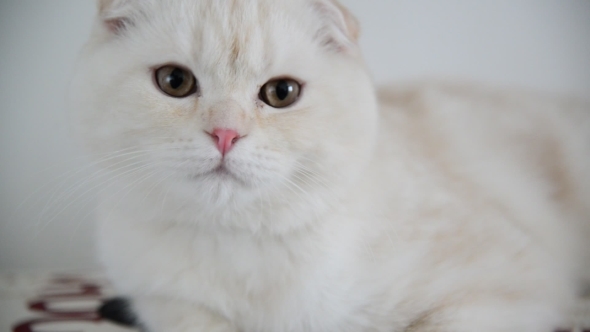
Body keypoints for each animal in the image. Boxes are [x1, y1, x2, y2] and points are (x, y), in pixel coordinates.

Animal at [67, 0, 588, 332]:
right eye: (174, 81)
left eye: (281, 93)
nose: (225, 135)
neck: (241, 246)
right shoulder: (167, 305)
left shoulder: (510, 286)